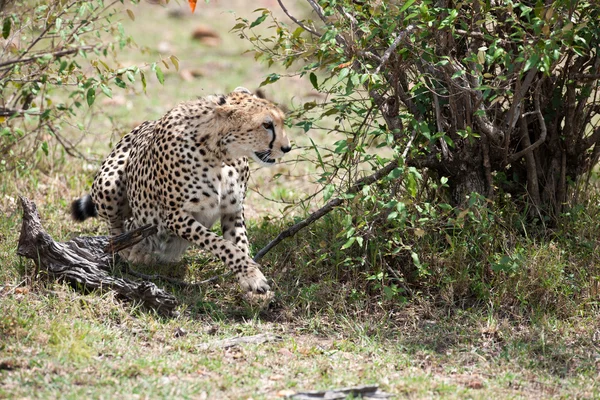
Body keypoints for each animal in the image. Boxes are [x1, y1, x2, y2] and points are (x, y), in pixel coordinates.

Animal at [71, 87, 292, 292]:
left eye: (280, 122)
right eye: (266, 125)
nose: (287, 148)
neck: (220, 154)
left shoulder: (233, 210)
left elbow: (239, 244)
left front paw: (249, 276)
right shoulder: (174, 215)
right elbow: (221, 244)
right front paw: (251, 274)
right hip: (108, 183)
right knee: (116, 226)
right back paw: (130, 250)